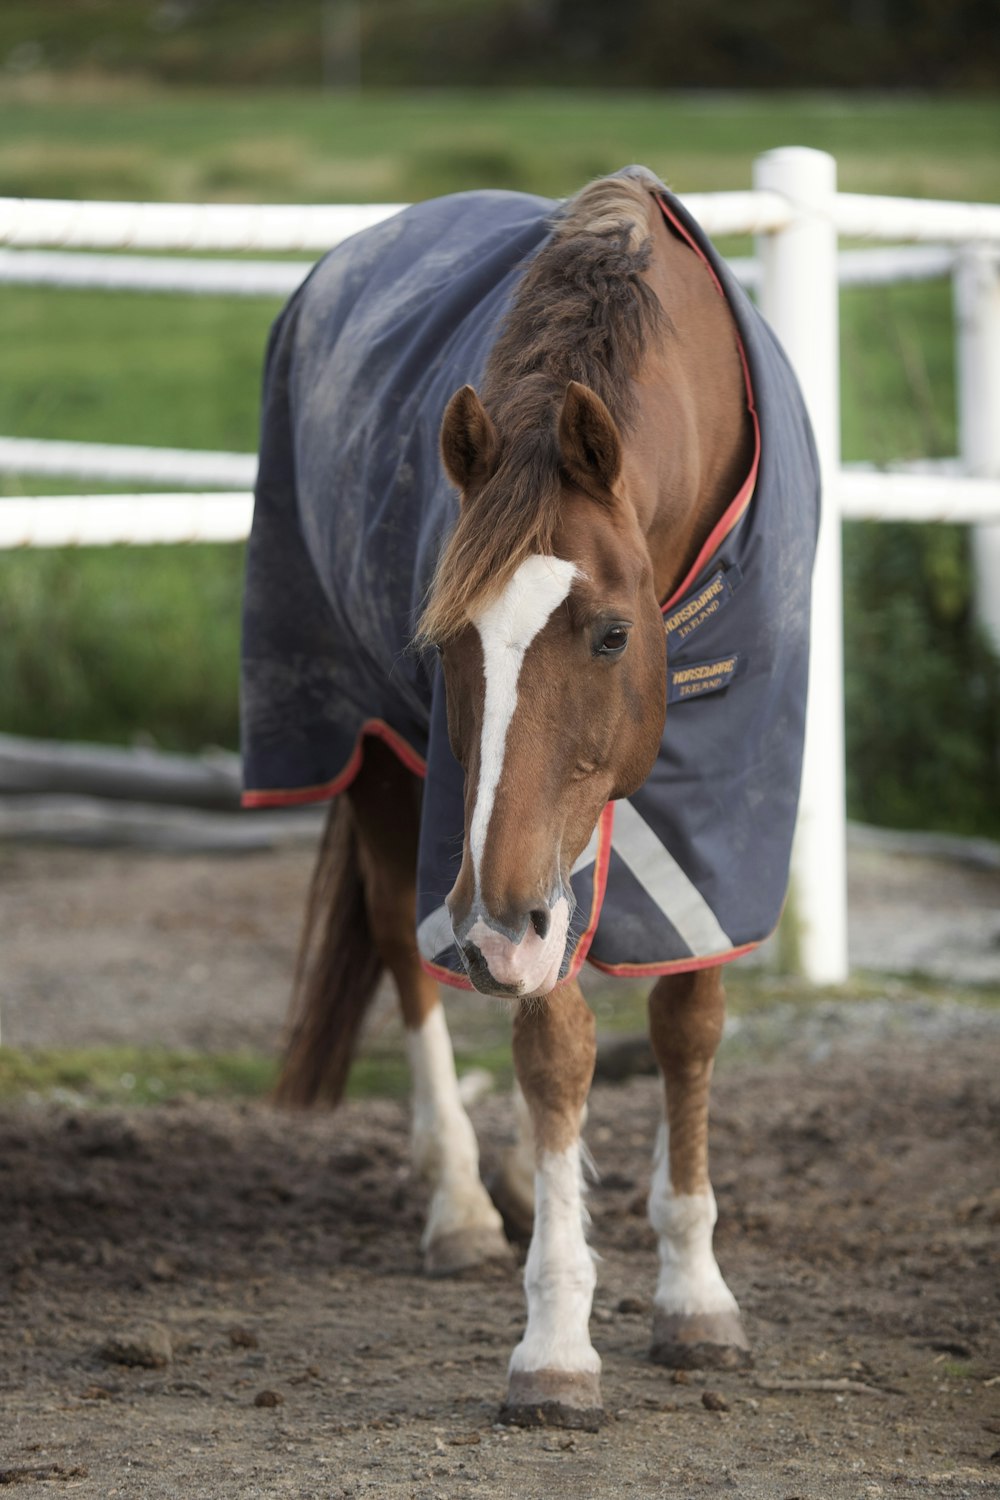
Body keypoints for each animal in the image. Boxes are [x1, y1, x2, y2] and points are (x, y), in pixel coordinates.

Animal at [242, 167, 821, 1428]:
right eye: (447, 643)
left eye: (609, 635)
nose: (499, 931)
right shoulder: (501, 850)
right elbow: (554, 1045)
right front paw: (555, 1341)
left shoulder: (714, 807)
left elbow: (688, 1023)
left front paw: (694, 1291)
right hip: (379, 761)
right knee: (404, 946)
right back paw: (460, 1198)